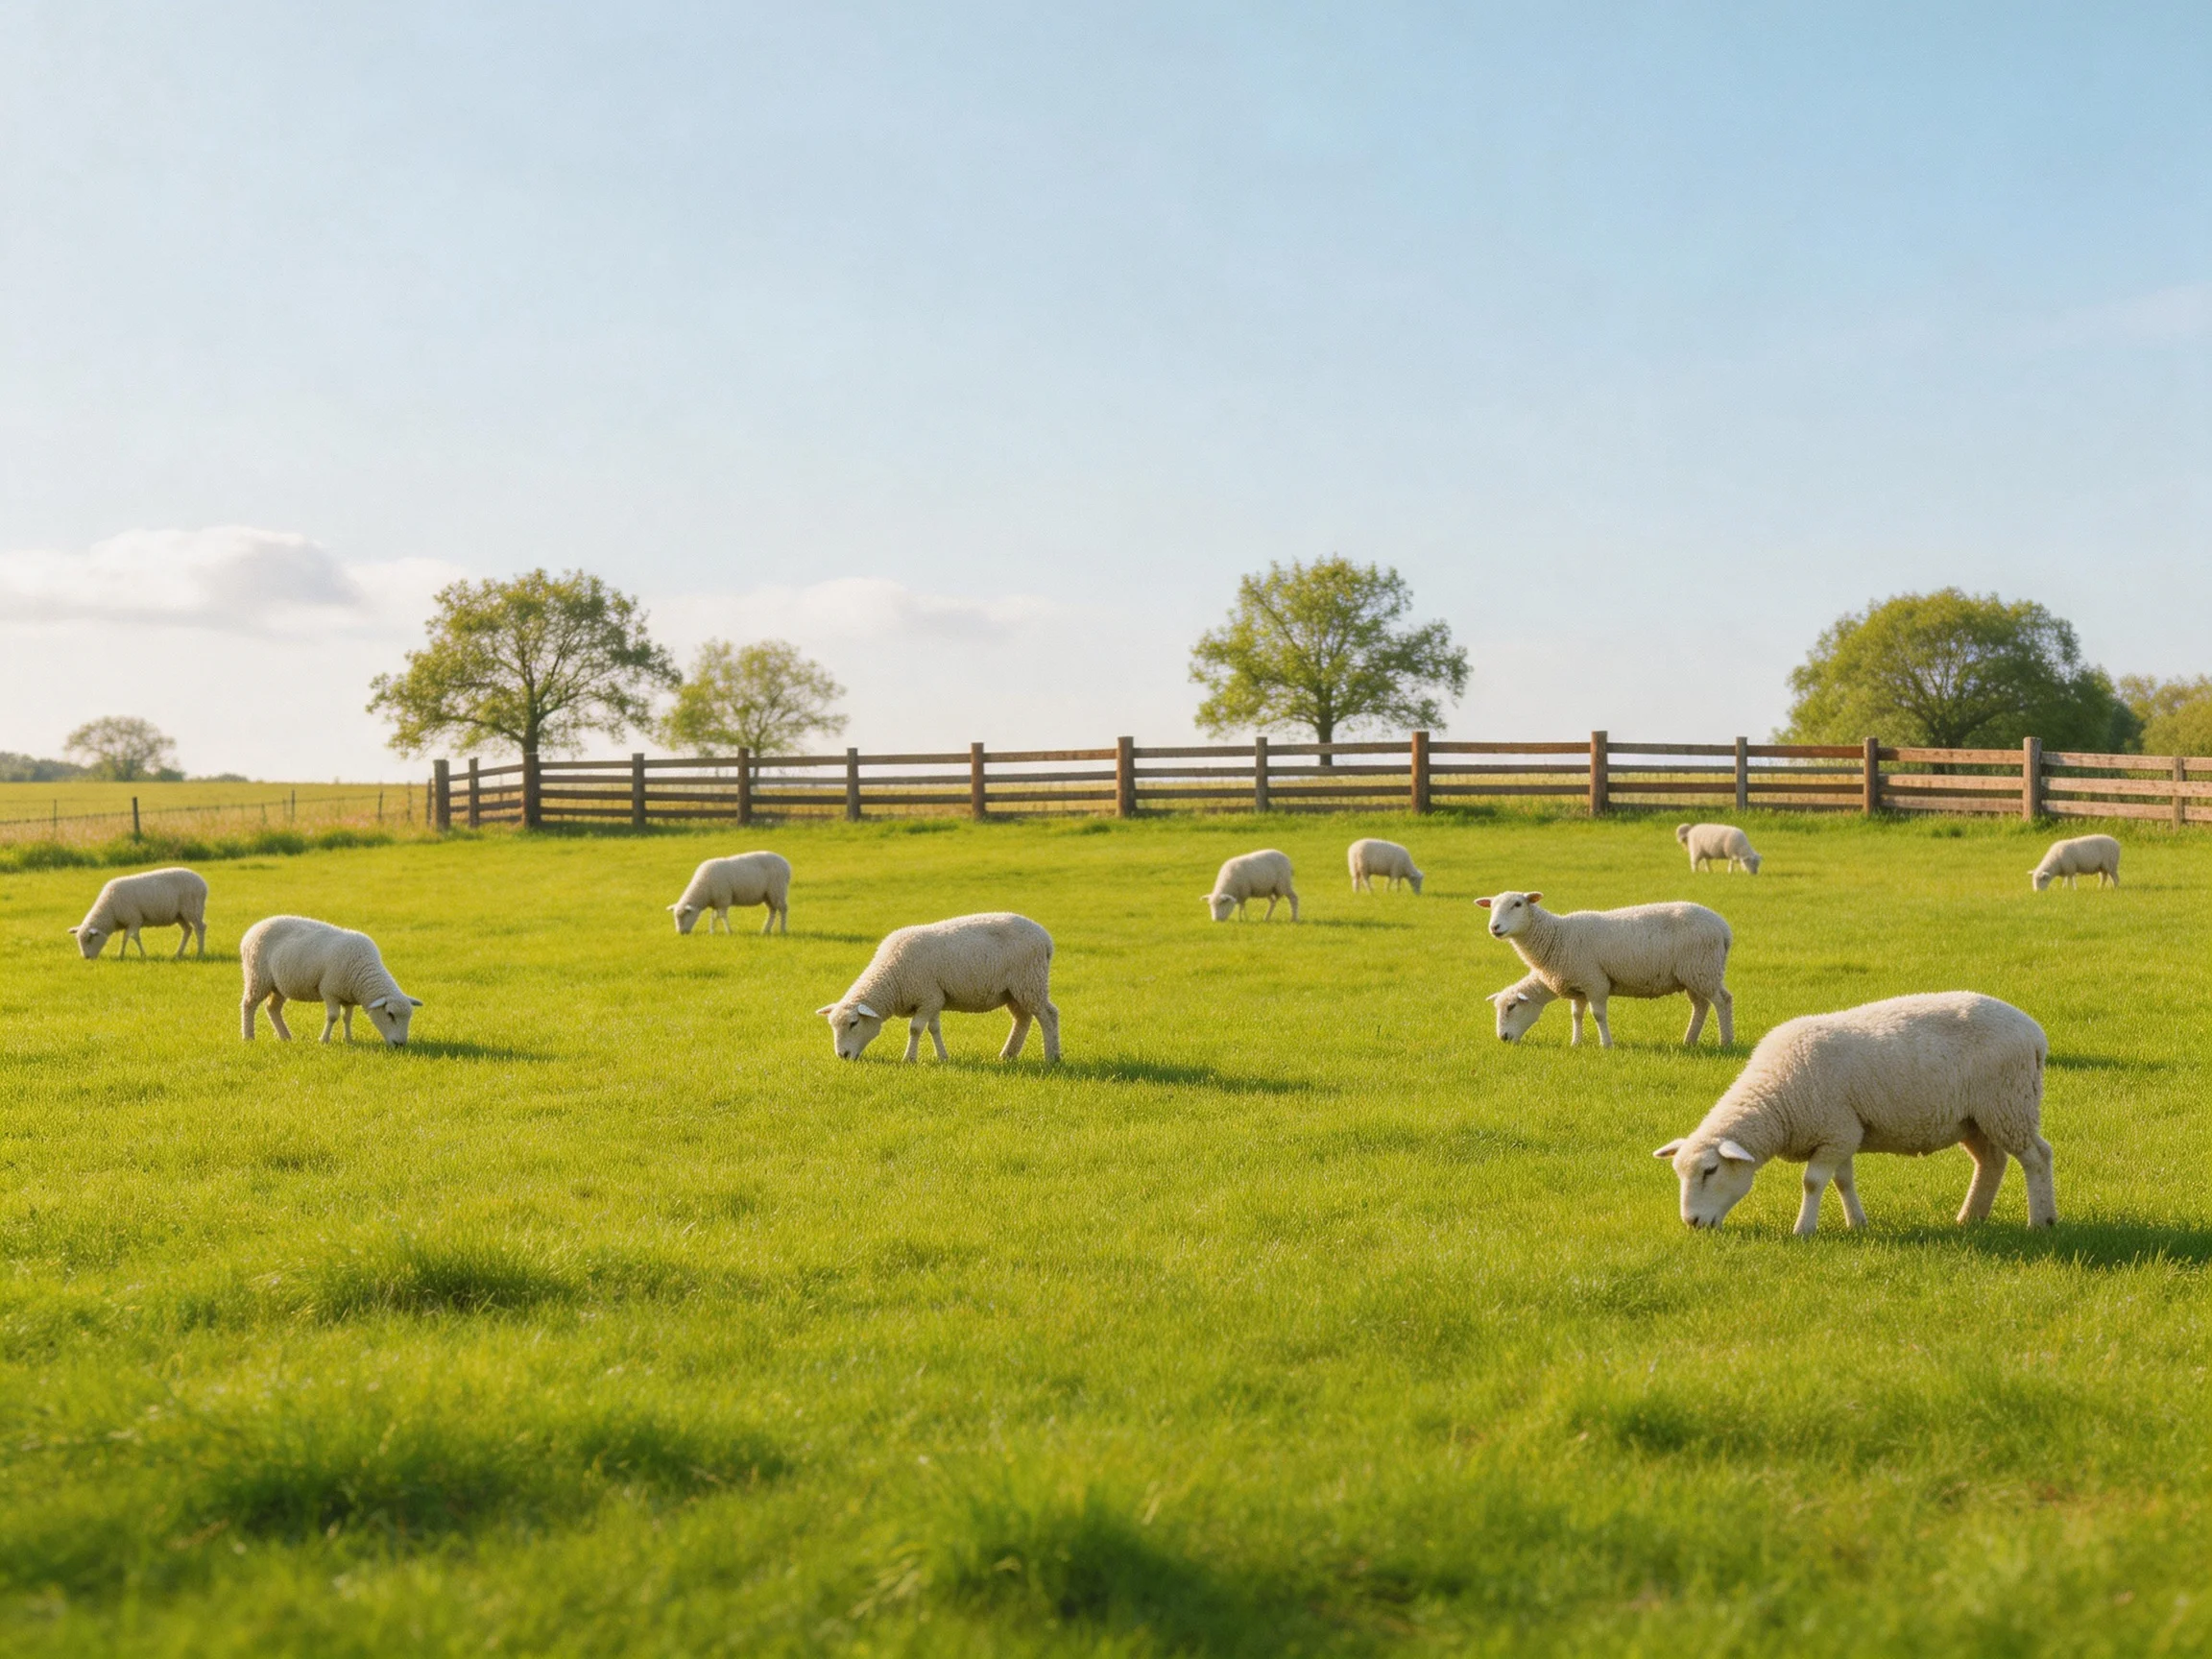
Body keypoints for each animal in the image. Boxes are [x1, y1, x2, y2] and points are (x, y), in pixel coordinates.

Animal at [240, 915, 422, 1046]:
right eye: (390, 1014)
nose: (400, 1044)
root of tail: (253, 929)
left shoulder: (348, 996)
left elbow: (347, 1017)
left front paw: (349, 1039)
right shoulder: (329, 991)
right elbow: (333, 1016)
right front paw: (324, 1040)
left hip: (279, 984)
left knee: (272, 1008)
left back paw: (285, 1037)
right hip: (257, 977)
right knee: (249, 1004)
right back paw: (249, 1037)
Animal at [816, 912, 1058, 1062]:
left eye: (854, 1023)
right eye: (833, 1026)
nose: (843, 1055)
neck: (891, 976)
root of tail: (1046, 938)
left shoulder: (927, 997)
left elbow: (915, 1029)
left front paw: (909, 1059)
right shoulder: (934, 998)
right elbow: (934, 1028)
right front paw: (942, 1057)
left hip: (1030, 981)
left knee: (1048, 1015)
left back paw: (1052, 1056)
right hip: (1015, 990)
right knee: (1022, 1019)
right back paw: (1008, 1055)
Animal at [1477, 889, 1733, 1047]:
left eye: (1518, 904)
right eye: (1491, 907)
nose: (1503, 1038)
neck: (1557, 937)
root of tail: (1723, 927)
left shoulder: (1595, 981)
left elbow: (1598, 1015)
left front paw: (1606, 1044)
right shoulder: (1577, 985)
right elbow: (1577, 1015)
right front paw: (1576, 1043)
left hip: (1703, 968)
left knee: (1722, 1001)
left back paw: (1725, 1041)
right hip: (1694, 975)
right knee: (1701, 1006)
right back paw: (1689, 1040)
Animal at [1655, 991, 2053, 1236]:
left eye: (1710, 1171)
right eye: (1679, 1173)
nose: (1692, 1221)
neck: (1777, 1097)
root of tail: (2034, 1032)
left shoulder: (1834, 1132)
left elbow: (1813, 1182)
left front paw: (1804, 1229)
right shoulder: (1843, 1133)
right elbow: (1843, 1181)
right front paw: (1857, 1223)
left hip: (2009, 1104)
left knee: (2037, 1156)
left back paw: (2041, 1220)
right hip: (1976, 1118)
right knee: (1992, 1161)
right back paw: (1970, 1218)